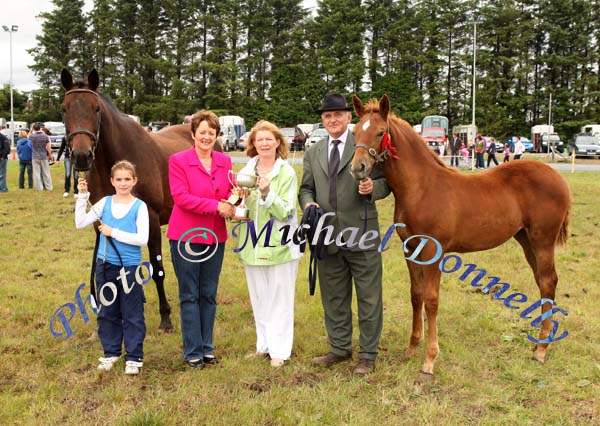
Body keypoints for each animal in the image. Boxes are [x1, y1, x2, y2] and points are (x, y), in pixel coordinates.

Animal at [60, 67, 195, 332]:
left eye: (96, 108)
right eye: (64, 108)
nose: (81, 156)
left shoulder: (150, 219)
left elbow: (158, 268)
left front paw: (165, 318)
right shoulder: (100, 222)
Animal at [352, 95, 572, 380]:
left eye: (380, 132)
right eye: (355, 132)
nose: (358, 168)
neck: (421, 188)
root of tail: (558, 177)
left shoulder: (432, 252)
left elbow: (432, 300)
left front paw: (429, 361)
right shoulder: (409, 249)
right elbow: (416, 295)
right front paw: (412, 348)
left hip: (543, 239)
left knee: (548, 281)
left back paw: (541, 350)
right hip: (525, 240)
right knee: (543, 283)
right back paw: (538, 343)